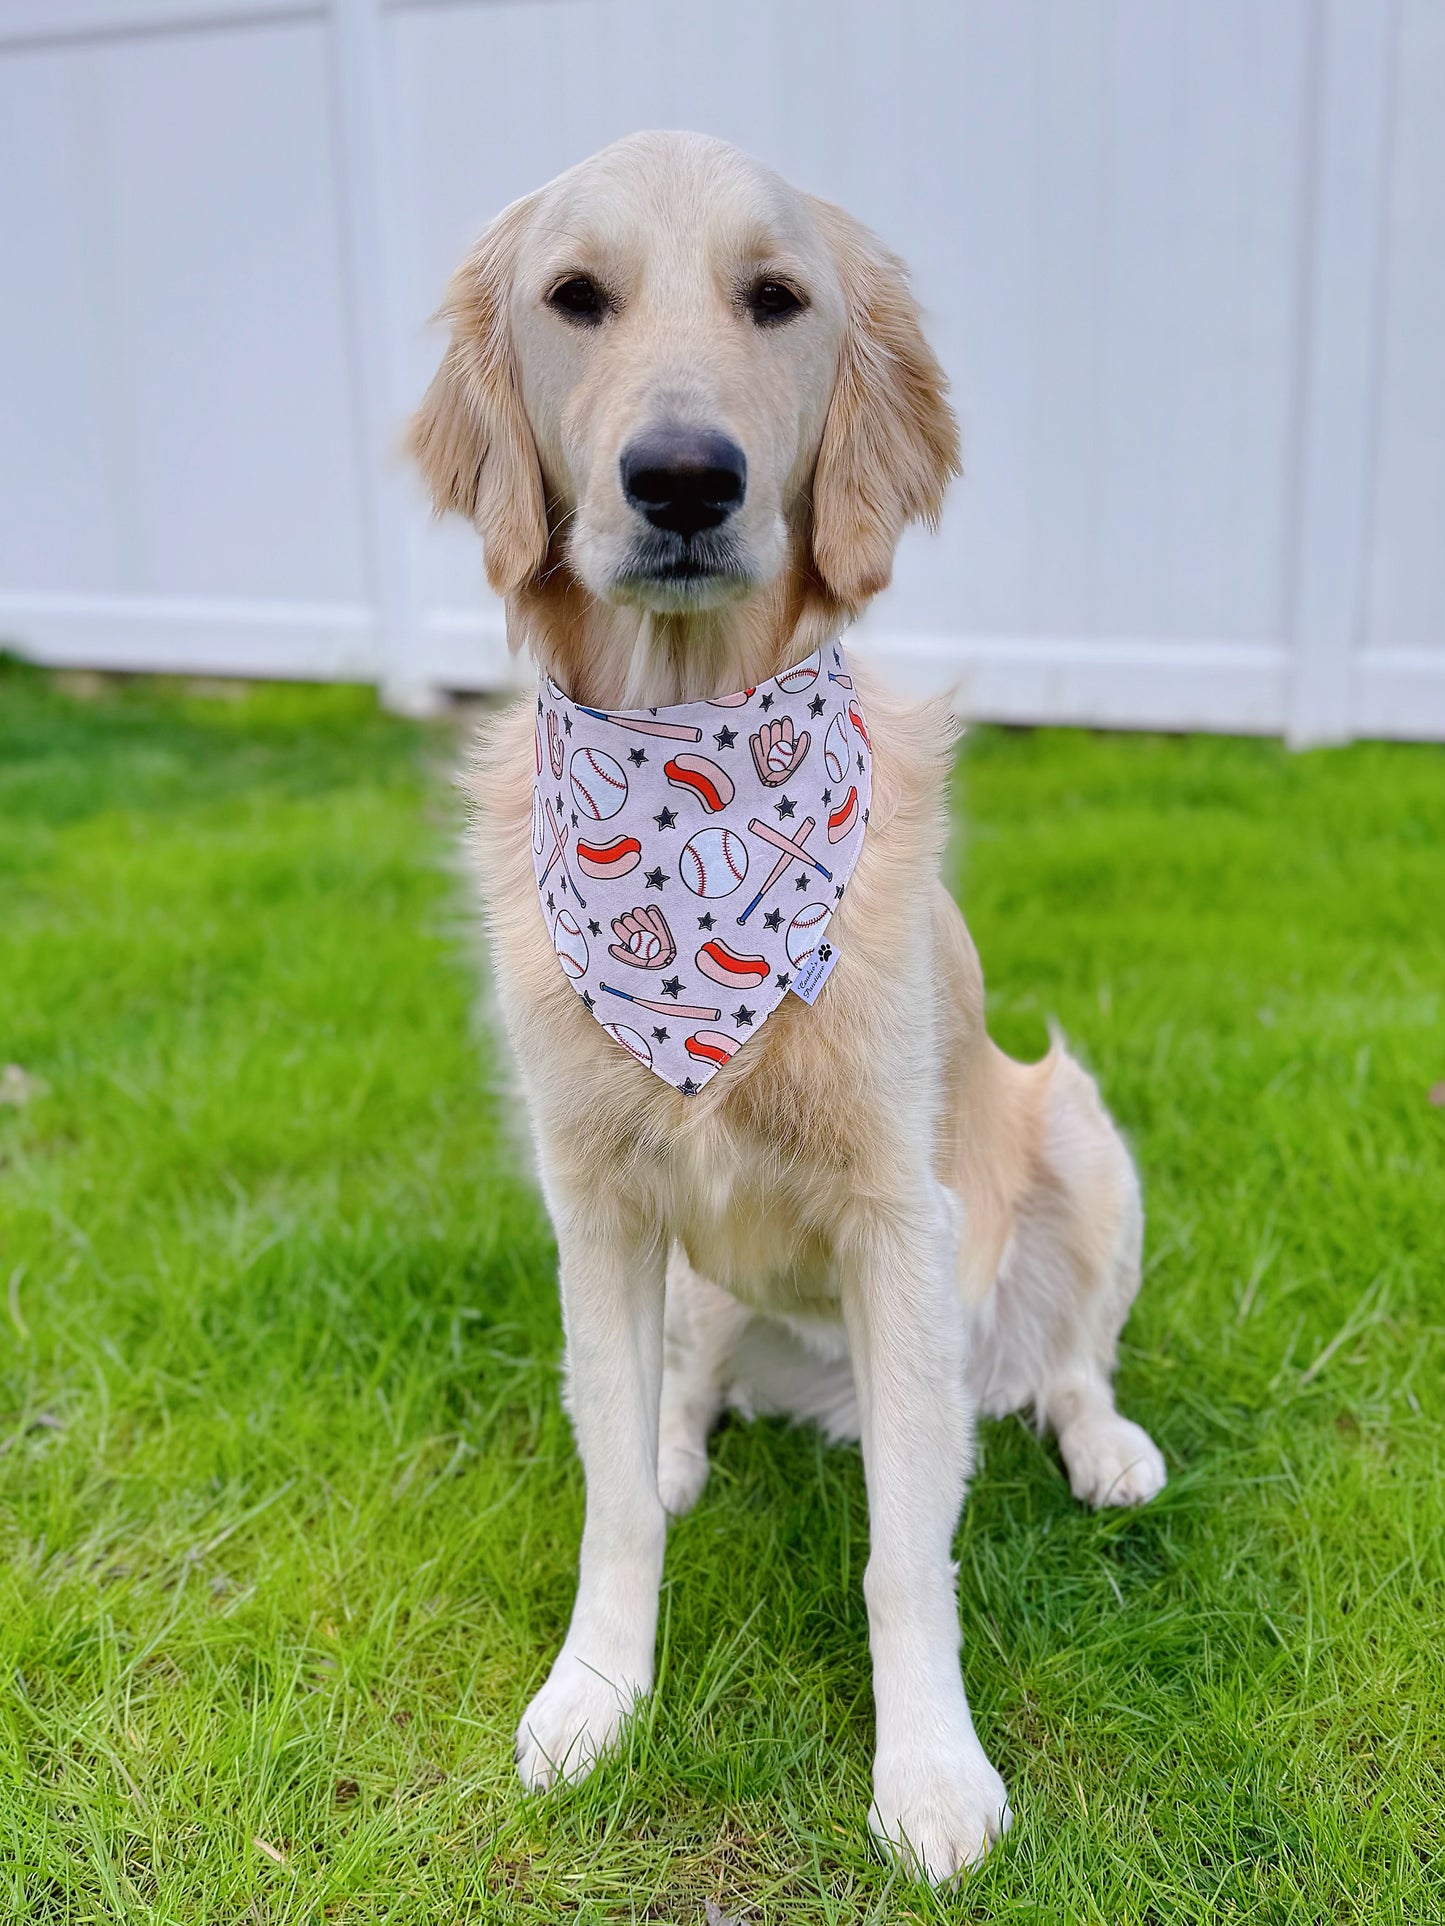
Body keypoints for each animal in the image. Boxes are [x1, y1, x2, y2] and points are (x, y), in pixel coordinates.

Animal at [408, 131, 1163, 1879]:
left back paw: (1105, 1447)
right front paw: (596, 1694)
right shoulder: (598, 1201)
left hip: (1080, 1138)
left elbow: (904, 1554)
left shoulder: (900, 1211)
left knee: (1064, 1363)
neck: (689, 747)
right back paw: (690, 1440)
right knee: (677, 1393)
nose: (684, 478)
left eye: (775, 298)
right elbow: (611, 1492)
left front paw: (932, 1775)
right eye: (574, 297)